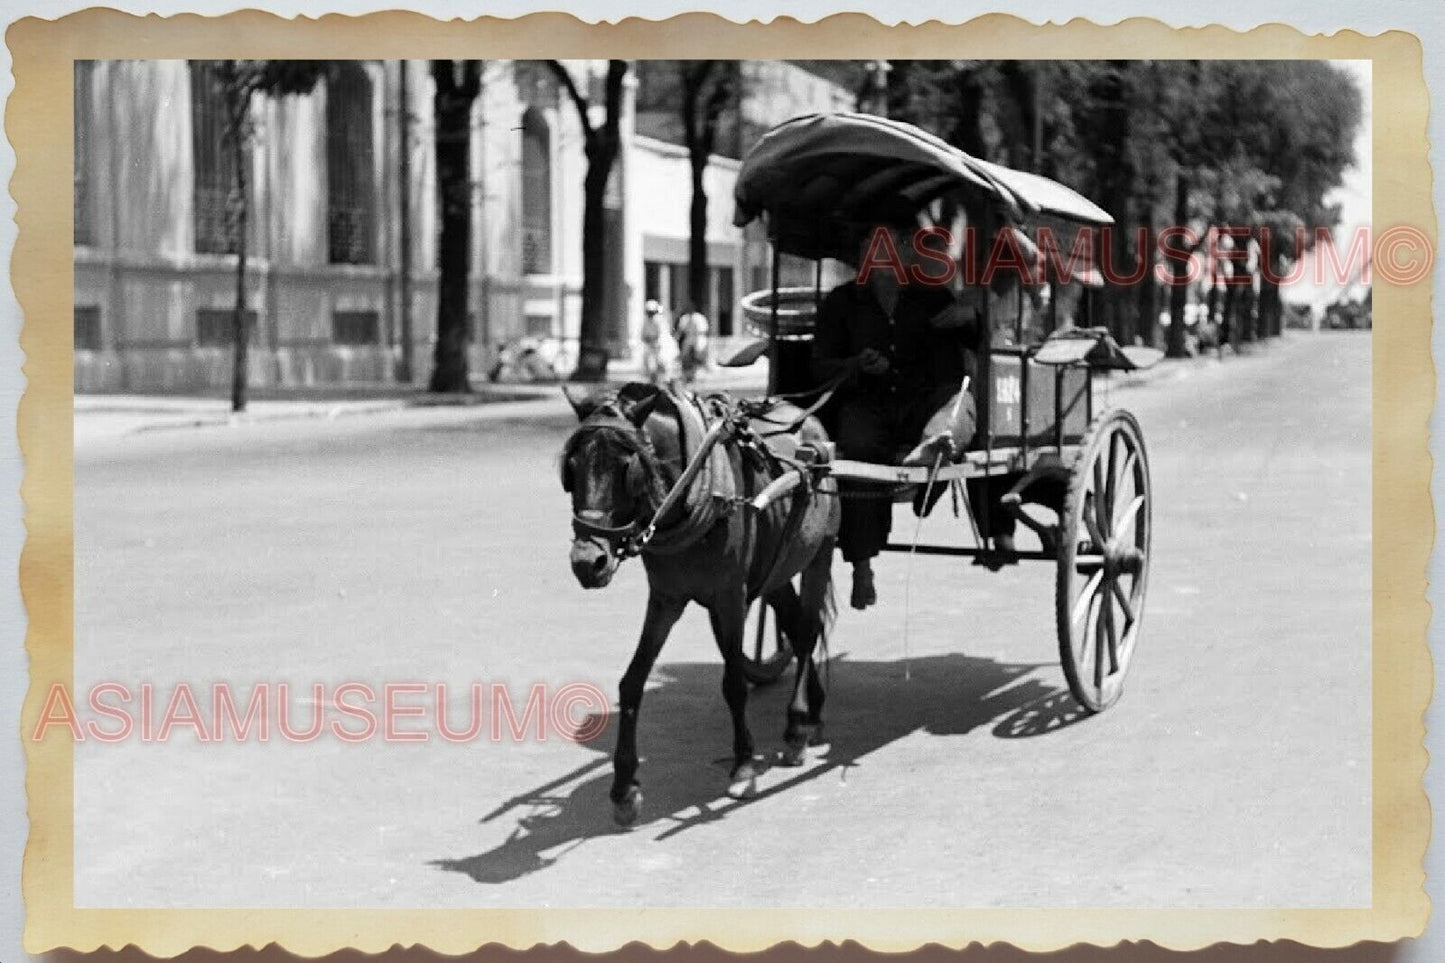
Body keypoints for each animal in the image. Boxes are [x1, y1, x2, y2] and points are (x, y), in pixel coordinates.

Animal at [557, 381, 843, 827]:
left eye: (627, 467)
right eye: (572, 467)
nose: (588, 562)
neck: (692, 490)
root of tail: (809, 420)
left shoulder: (731, 596)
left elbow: (733, 683)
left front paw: (743, 767)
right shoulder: (667, 598)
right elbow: (632, 682)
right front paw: (624, 789)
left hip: (820, 551)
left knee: (809, 628)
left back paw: (796, 727)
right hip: (777, 567)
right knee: (797, 630)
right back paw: (811, 714)